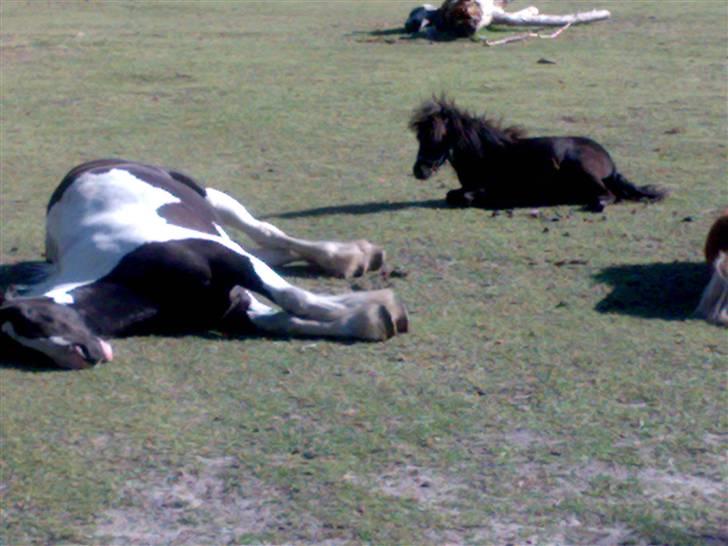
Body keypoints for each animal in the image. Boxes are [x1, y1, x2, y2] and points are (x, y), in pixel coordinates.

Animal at [0, 159, 410, 368]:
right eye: (21, 347)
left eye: (34, 319)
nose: (81, 356)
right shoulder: (230, 309)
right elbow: (286, 319)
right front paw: (372, 316)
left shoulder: (228, 258)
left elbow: (295, 299)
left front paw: (381, 305)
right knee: (271, 248)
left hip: (214, 199)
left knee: (268, 234)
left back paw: (351, 256)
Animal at [406, 98, 668, 210]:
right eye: (419, 137)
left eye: (438, 137)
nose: (420, 171)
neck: (486, 155)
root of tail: (609, 162)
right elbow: (452, 195)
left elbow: (466, 197)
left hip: (583, 169)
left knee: (607, 196)